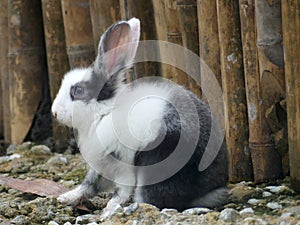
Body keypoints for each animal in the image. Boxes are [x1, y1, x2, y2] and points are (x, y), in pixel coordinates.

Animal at [51, 18, 229, 220]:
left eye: (78, 91)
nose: (54, 112)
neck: (104, 113)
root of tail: (213, 187)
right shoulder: (100, 168)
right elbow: (88, 185)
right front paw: (65, 198)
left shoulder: (122, 164)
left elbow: (120, 192)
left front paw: (108, 211)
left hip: (159, 163)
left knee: (152, 198)